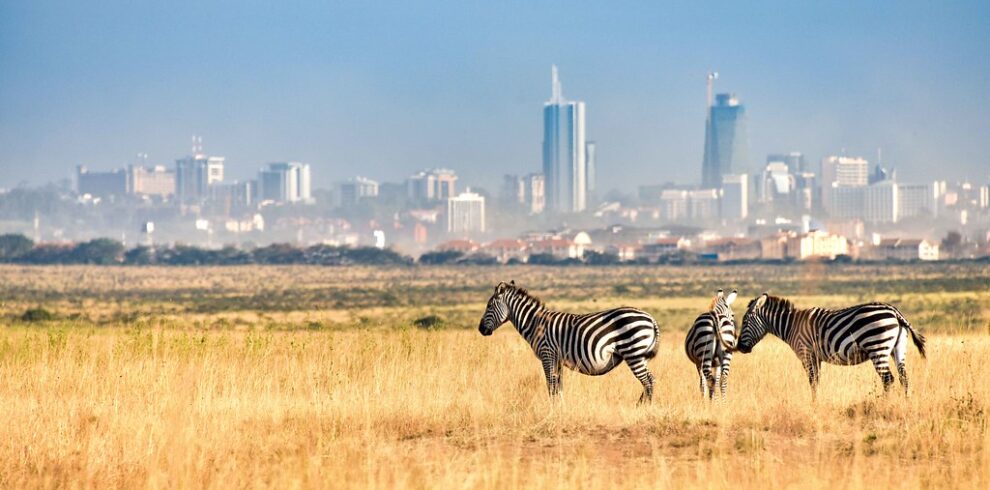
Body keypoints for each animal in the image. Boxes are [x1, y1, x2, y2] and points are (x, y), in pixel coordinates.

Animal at [478, 281, 661, 404]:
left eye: (489, 306)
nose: (480, 329)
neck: (535, 323)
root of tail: (651, 318)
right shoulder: (557, 358)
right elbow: (558, 386)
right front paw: (561, 407)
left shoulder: (547, 354)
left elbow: (551, 385)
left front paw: (553, 409)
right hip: (639, 355)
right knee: (650, 380)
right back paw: (642, 406)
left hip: (633, 352)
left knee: (648, 381)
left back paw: (642, 408)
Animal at [728, 293, 926, 397]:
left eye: (744, 321)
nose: (740, 348)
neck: (791, 325)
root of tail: (895, 312)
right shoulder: (816, 357)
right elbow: (817, 381)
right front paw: (816, 403)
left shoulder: (806, 353)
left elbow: (812, 381)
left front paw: (813, 405)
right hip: (897, 349)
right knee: (903, 378)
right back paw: (904, 405)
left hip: (877, 347)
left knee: (888, 379)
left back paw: (883, 405)